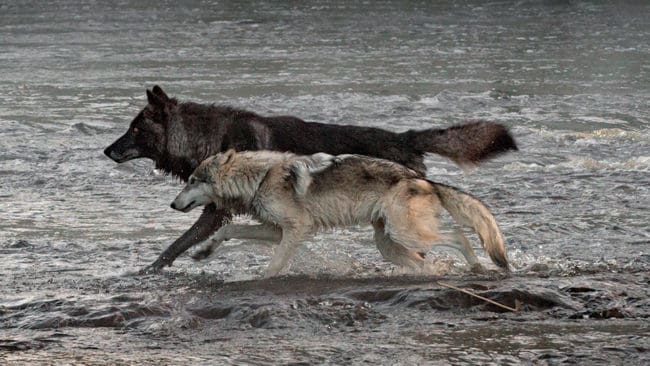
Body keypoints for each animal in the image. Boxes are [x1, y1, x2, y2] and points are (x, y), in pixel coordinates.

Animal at [168, 150, 506, 276]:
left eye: (192, 181)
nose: (172, 204)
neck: (260, 177)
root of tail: (424, 180)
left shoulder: (295, 229)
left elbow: (274, 265)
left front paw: (261, 280)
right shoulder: (276, 230)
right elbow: (228, 230)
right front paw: (203, 252)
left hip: (405, 233)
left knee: (460, 235)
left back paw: (477, 266)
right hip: (388, 245)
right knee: (427, 263)